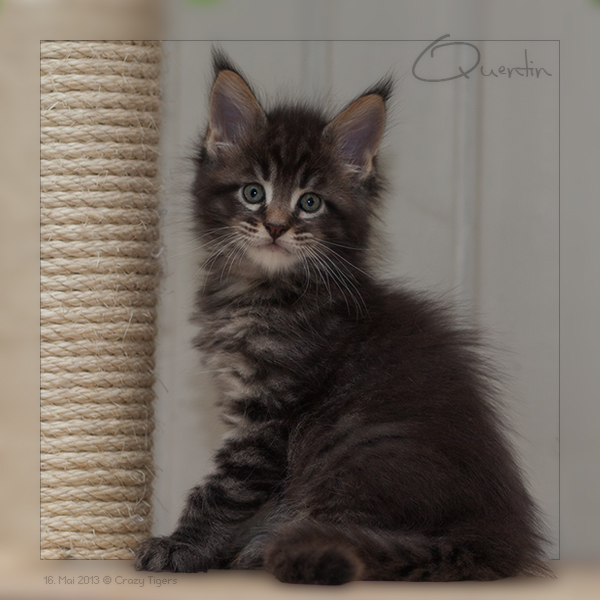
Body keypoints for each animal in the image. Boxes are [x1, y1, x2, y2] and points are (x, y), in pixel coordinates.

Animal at [134, 49, 548, 584]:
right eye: (253, 193)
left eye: (310, 203)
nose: (275, 227)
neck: (264, 292)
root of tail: (497, 536)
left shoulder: (269, 414)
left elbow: (223, 489)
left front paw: (181, 547)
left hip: (357, 453)